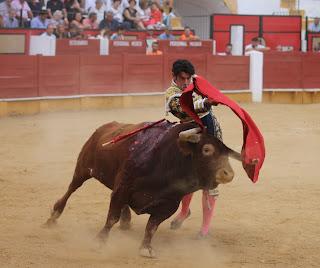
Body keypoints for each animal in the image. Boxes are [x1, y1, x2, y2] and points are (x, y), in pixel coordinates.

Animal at [44, 120, 240, 258]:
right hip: (83, 168)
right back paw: (53, 217)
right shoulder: (122, 189)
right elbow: (111, 218)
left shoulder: (168, 205)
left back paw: (126, 221)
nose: (228, 174)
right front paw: (100, 241)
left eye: (226, 154)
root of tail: (103, 128)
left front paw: (146, 248)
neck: (167, 160)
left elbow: (151, 227)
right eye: (206, 149)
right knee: (71, 189)